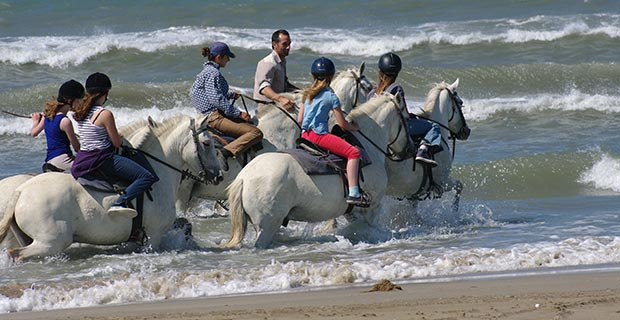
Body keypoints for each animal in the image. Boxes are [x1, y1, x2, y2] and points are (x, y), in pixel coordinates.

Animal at [0, 115, 223, 260]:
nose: (219, 175)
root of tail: (21, 192)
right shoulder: (154, 235)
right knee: (17, 254)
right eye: (206, 143)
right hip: (50, 242)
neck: (159, 170)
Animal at [224, 94, 412, 249]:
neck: (367, 147)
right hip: (268, 226)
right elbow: (370, 228)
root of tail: (244, 178)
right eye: (406, 119)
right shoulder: (373, 206)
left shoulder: (353, 212)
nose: (409, 149)